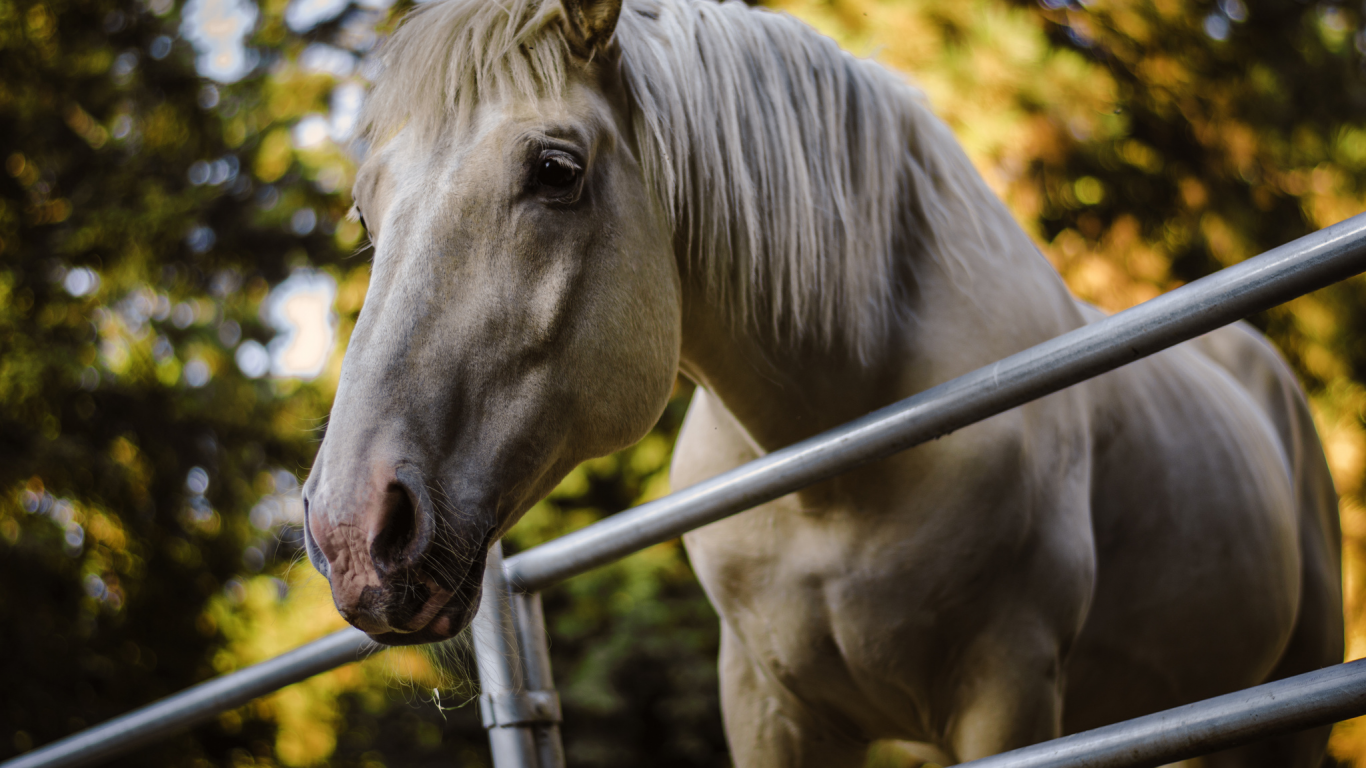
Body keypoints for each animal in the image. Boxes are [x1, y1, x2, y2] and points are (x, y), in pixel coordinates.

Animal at [301, 0, 1344, 759]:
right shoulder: (766, 705)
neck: (838, 464)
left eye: (556, 169)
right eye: (365, 211)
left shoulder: (1007, 687)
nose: (353, 533)